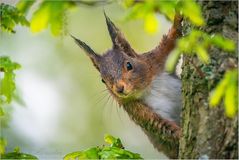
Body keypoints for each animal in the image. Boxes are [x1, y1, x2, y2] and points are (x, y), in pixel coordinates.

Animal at [72, 11, 182, 158]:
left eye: (129, 65)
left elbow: (171, 41)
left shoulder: (156, 60)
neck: (146, 88)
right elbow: (162, 127)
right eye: (103, 80)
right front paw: (182, 134)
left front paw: (178, 17)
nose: (119, 89)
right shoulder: (138, 111)